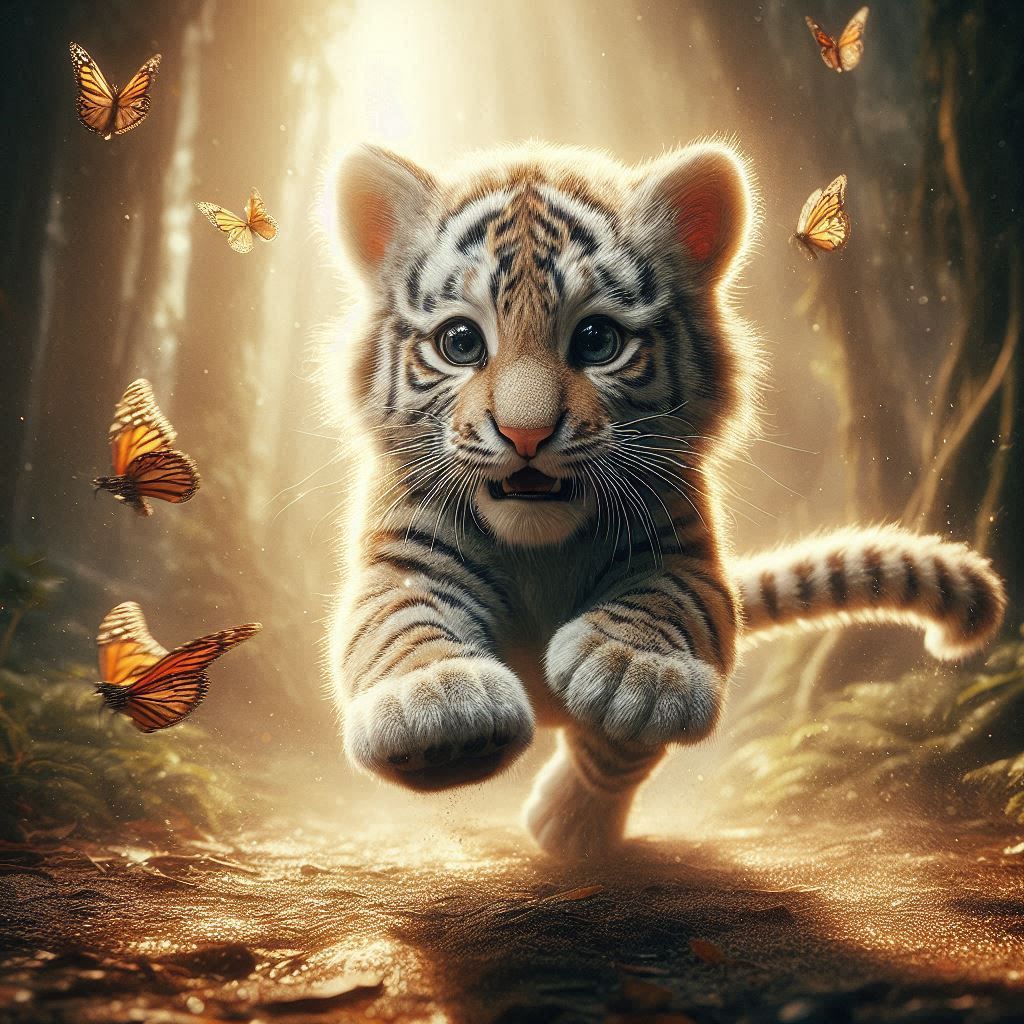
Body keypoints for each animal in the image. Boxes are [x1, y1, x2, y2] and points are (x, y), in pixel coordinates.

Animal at [321, 141, 1005, 860]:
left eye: (596, 340)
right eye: (461, 342)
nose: (526, 434)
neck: (537, 544)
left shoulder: (685, 557)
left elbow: (663, 607)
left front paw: (634, 672)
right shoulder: (405, 557)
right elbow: (399, 620)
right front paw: (438, 705)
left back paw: (570, 825)